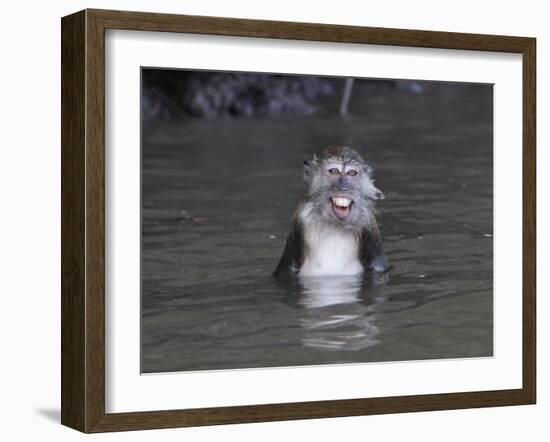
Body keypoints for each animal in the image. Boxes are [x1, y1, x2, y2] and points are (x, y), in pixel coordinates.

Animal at [274, 145, 388, 276]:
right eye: (334, 171)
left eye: (351, 173)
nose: (344, 187)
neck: (336, 225)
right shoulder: (300, 217)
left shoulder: (369, 222)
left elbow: (377, 267)